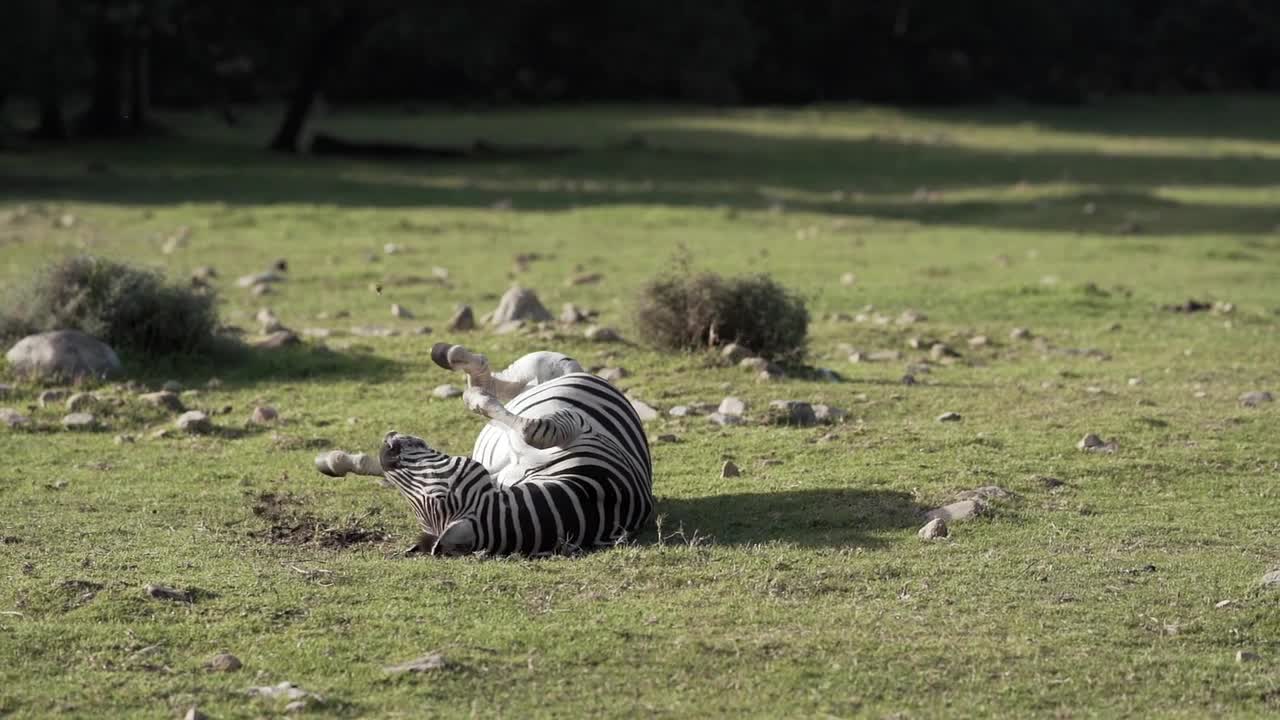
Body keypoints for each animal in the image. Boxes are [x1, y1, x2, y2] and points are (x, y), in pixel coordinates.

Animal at [309, 340, 650, 556]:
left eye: (439, 496)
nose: (387, 450)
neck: (593, 499)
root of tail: (579, 370)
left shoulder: (579, 427)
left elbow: (530, 429)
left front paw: (474, 397)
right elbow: (520, 425)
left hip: (546, 370)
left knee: (495, 378)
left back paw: (452, 359)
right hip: (536, 375)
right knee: (499, 380)